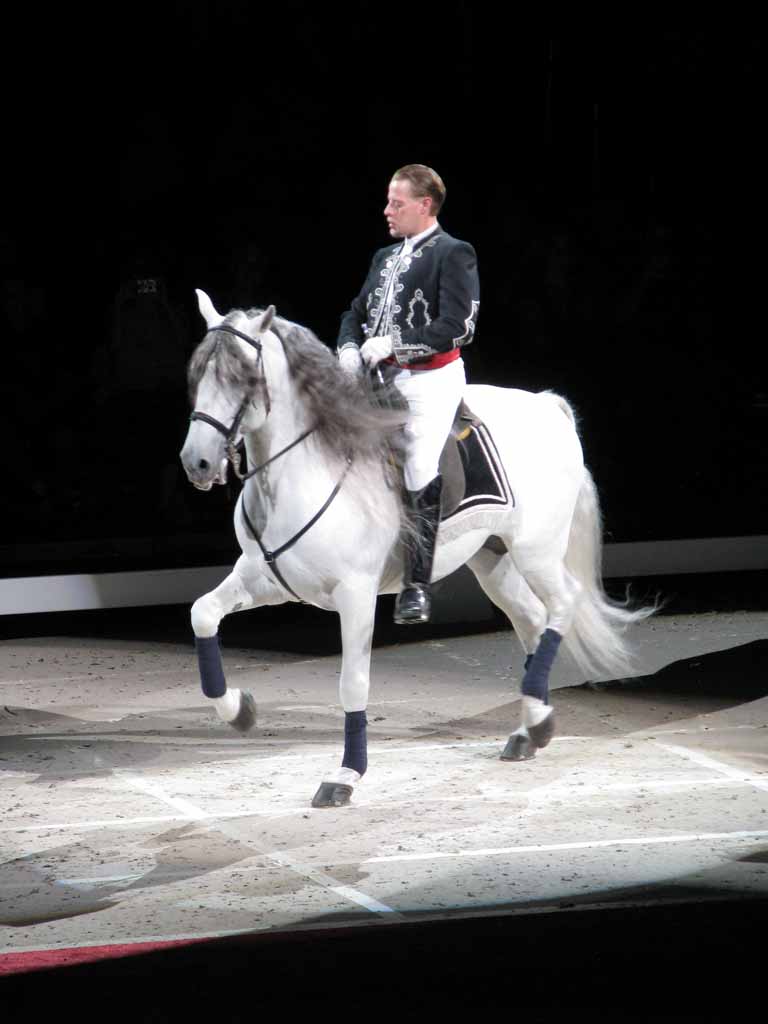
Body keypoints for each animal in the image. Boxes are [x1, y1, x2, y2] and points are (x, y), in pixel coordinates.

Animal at [180, 288, 655, 806]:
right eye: (198, 374)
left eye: (241, 377)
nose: (196, 462)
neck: (299, 471)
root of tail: (549, 406)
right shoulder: (262, 577)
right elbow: (203, 613)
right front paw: (239, 709)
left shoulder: (356, 594)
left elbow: (353, 683)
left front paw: (345, 775)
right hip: (494, 561)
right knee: (533, 621)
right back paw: (533, 728)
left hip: (537, 551)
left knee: (563, 604)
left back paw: (536, 719)